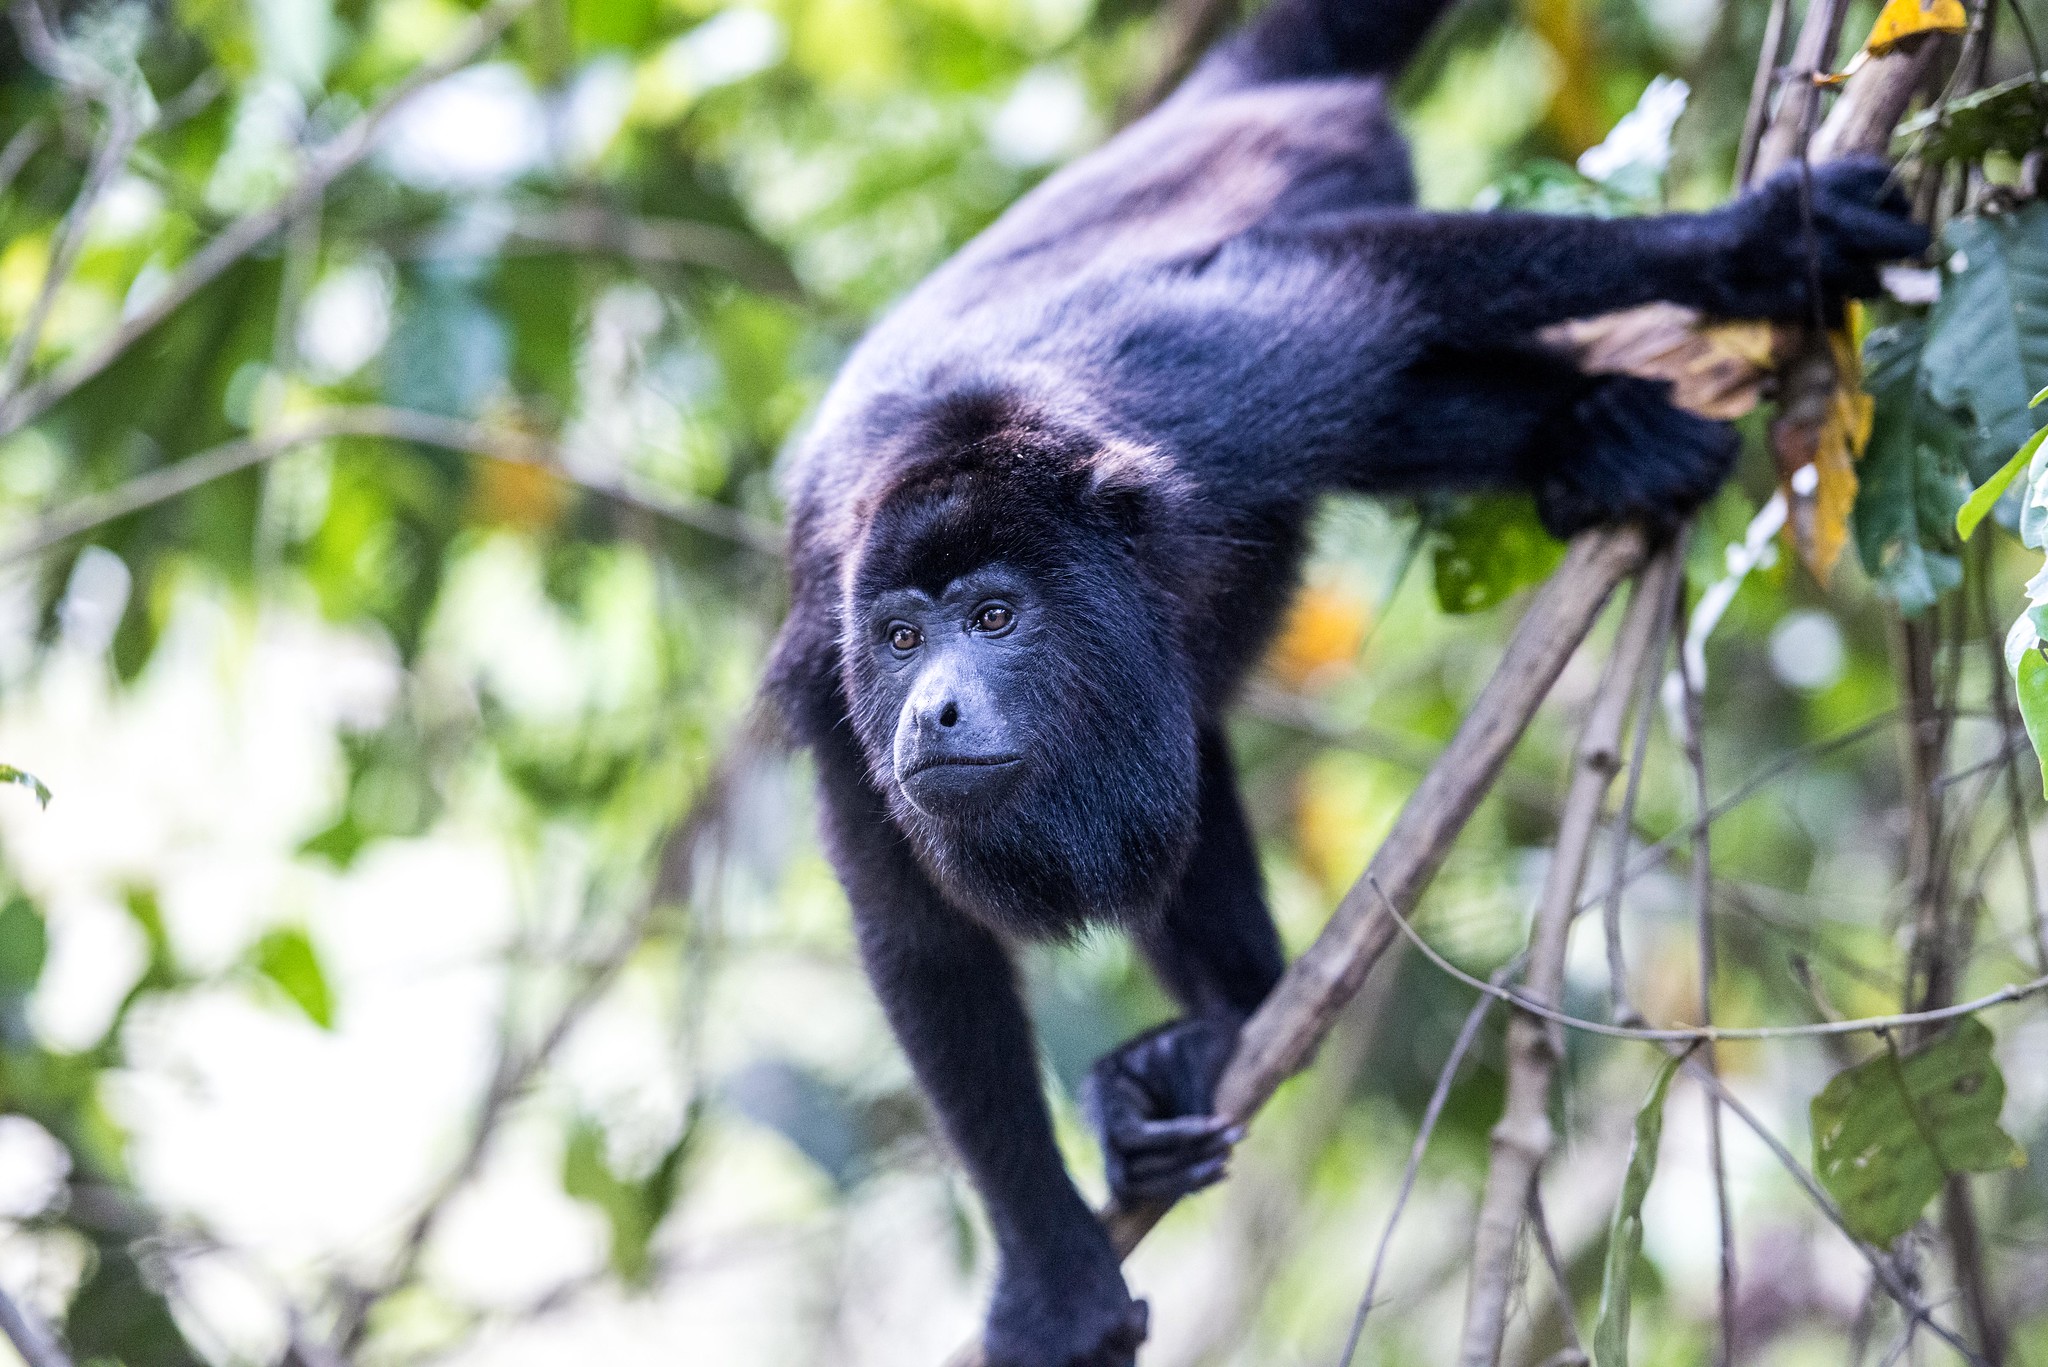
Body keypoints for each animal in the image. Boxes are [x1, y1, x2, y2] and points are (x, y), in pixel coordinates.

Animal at [761, 0, 1925, 1352]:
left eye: (995, 616)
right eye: (901, 639)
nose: (933, 707)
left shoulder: (1221, 386)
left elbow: (1374, 282)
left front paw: (1753, 243)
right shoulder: (830, 669)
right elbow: (922, 945)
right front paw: (1052, 1271)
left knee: (1404, 381)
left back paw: (1595, 427)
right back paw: (1202, 1045)